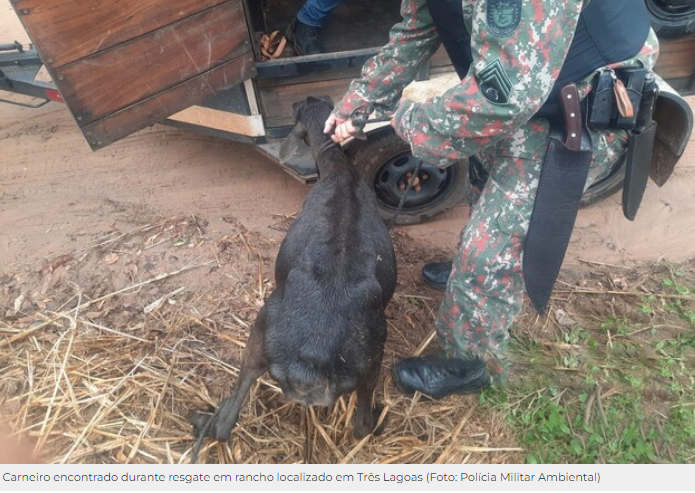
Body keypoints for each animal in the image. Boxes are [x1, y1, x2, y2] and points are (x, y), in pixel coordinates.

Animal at [190, 95, 396, 446]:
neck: (340, 174)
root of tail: (312, 364)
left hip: (263, 334)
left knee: (227, 419)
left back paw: (202, 420)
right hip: (371, 362)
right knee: (361, 427)